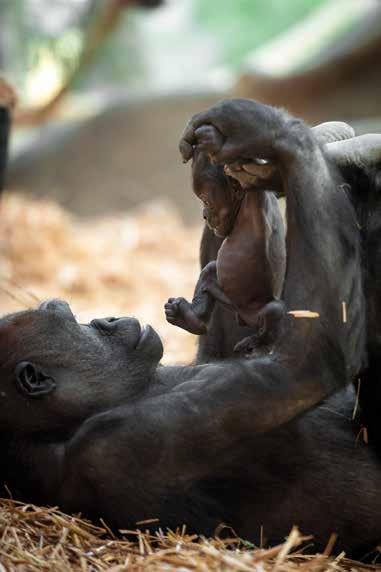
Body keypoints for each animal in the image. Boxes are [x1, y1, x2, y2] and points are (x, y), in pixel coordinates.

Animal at [0, 100, 378, 556]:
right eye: (72, 320)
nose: (106, 319)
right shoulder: (121, 442)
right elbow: (310, 361)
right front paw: (259, 128)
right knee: (273, 318)